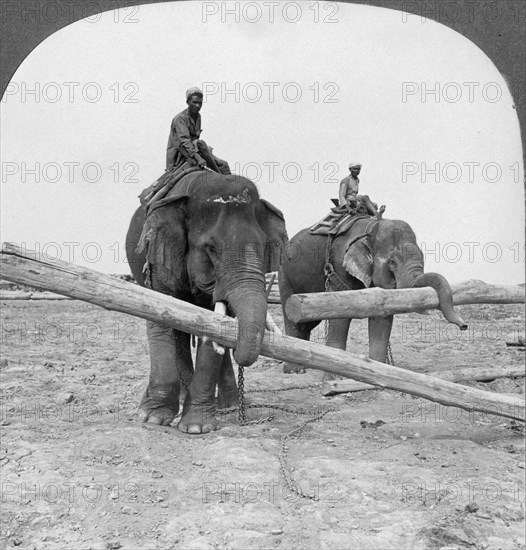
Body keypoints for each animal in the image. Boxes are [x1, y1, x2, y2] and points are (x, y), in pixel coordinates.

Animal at [125, 172, 288, 436]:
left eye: (264, 247)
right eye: (211, 248)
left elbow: (214, 327)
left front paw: (196, 427)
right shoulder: (161, 256)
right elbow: (162, 315)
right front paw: (153, 417)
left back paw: (227, 404)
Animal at [280, 216, 470, 376]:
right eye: (392, 262)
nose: (464, 326)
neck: (371, 229)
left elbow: (382, 317)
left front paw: (380, 372)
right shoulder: (338, 267)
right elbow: (339, 316)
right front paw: (335, 377)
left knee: (306, 323)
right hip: (285, 275)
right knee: (292, 317)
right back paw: (294, 370)